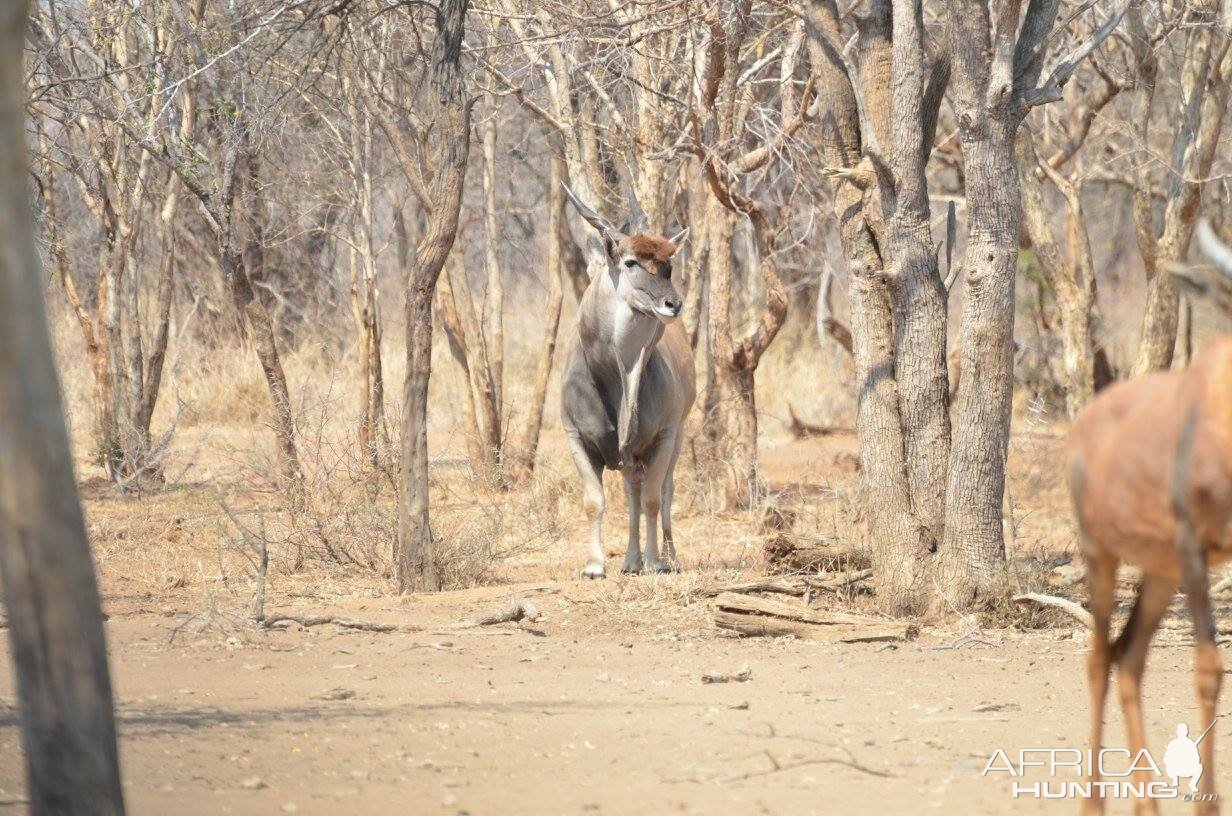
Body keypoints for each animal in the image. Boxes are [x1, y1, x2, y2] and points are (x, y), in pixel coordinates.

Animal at [559, 187, 694, 581]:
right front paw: (594, 566)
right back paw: (631, 560)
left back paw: (665, 557)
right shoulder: (577, 438)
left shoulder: (664, 436)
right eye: (631, 262)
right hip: (630, 455)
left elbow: (652, 499)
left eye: (668, 265)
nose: (672, 304)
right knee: (632, 490)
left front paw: (655, 561)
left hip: (676, 437)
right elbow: (595, 501)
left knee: (663, 491)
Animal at [1069, 219, 1232, 816]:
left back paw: (1147, 805)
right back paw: (1093, 804)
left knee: (1129, 656)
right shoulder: (1193, 548)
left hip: (1161, 571)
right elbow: (1209, 671)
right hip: (1103, 554)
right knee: (1098, 659)